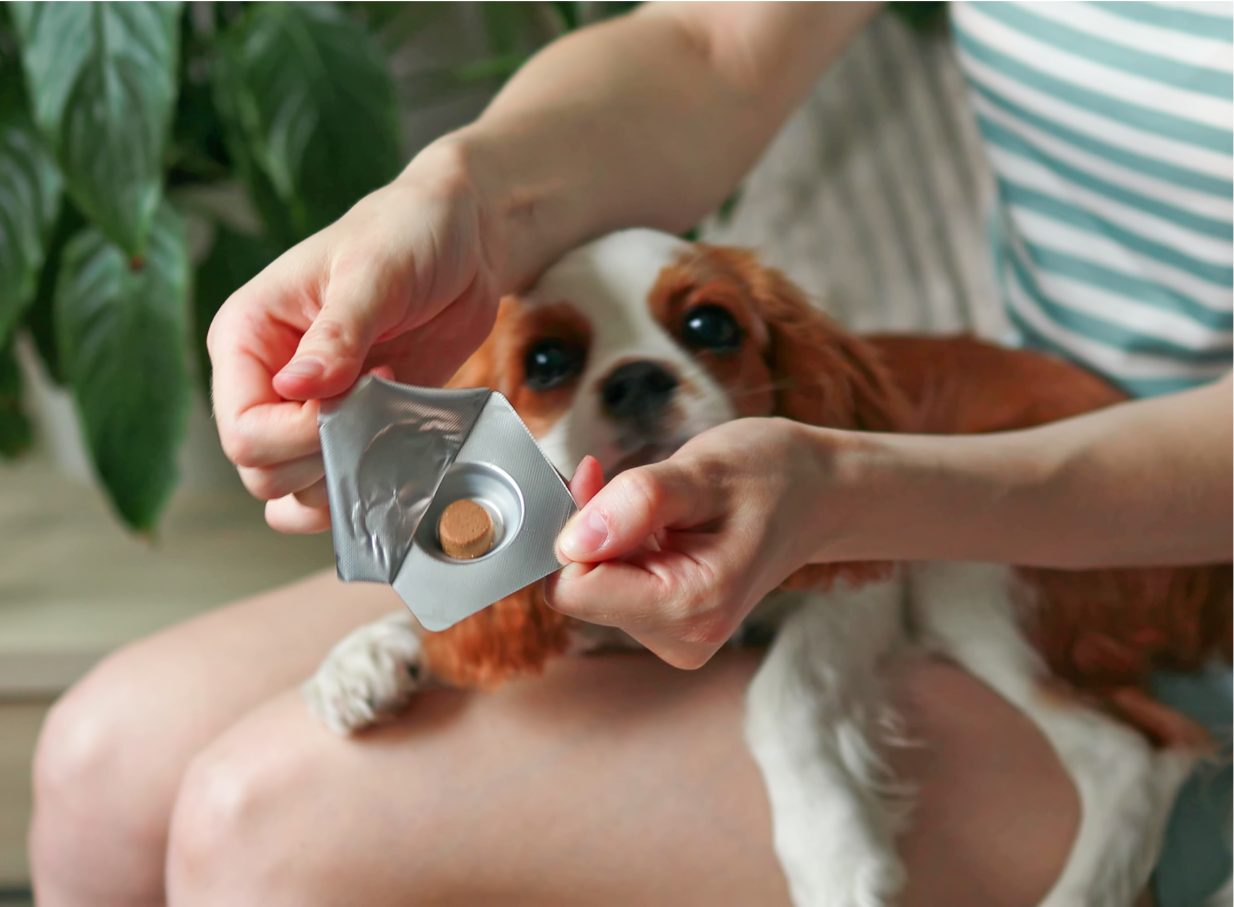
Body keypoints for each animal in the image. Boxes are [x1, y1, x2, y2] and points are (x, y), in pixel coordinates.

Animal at [301, 228, 1234, 907]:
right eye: (546, 362)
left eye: (710, 325)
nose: (636, 379)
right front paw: (366, 655)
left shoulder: (863, 582)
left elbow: (780, 694)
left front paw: (834, 849)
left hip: (970, 565)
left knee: (1134, 755)